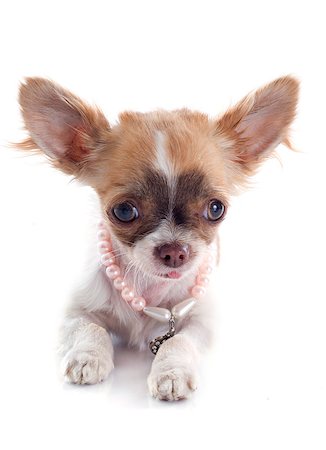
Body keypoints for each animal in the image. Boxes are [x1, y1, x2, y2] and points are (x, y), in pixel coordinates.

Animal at [17, 76, 298, 400]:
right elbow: (90, 328)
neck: (147, 287)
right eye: (124, 211)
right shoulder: (74, 310)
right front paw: (87, 358)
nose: (175, 251)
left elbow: (178, 340)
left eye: (216, 209)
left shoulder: (204, 321)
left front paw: (171, 372)